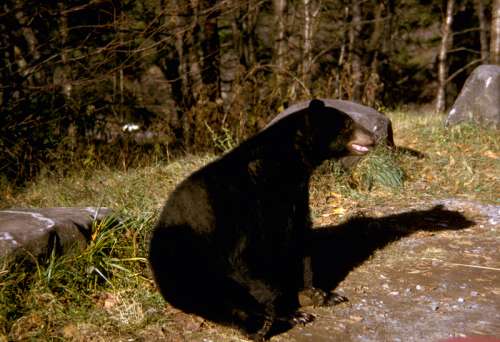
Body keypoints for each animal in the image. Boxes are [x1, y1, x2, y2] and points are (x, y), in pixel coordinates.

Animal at [148, 99, 376, 340]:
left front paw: (319, 293)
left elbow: (299, 240)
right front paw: (292, 312)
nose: (372, 136)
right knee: (212, 297)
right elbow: (250, 256)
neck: (286, 166)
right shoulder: (248, 204)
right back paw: (259, 325)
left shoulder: (295, 196)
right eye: (348, 123)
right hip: (185, 259)